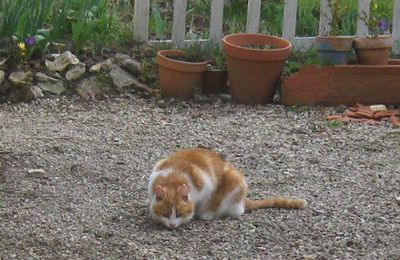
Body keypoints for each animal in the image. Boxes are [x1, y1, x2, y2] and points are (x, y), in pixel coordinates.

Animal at [148, 147, 308, 229]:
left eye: (180, 214)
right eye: (165, 214)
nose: (172, 225)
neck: (173, 178)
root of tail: (244, 200)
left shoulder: (207, 185)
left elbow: (210, 201)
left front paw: (204, 213)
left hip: (234, 181)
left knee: (235, 211)